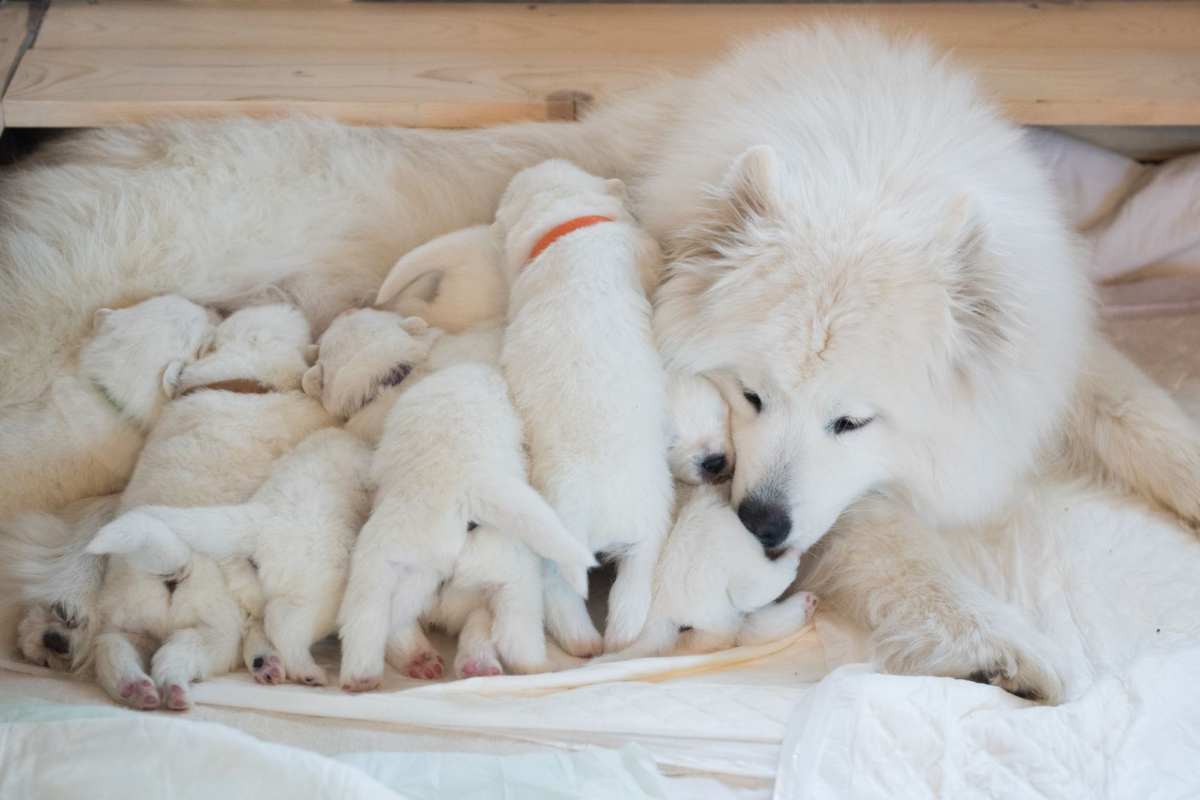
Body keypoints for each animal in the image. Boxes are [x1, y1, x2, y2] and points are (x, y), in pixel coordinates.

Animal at [84, 303, 331, 710]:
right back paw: (174, 689)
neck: (245, 370)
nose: (216, 309)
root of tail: (172, 564)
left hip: (126, 613)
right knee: (178, 654)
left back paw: (136, 688)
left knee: (113, 647)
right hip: (214, 628)